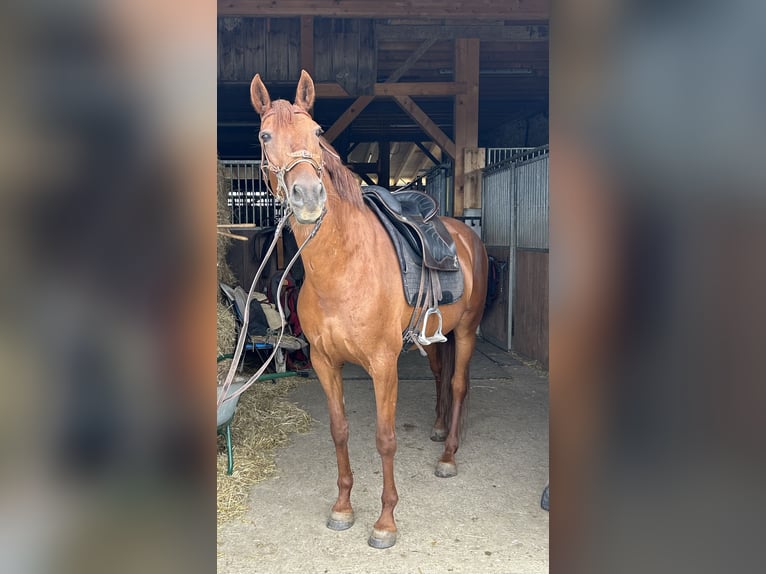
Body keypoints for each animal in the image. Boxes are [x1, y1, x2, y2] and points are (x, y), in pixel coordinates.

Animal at [252, 71, 492, 548]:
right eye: (265, 136)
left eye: (317, 133)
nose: (308, 196)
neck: (343, 266)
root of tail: (465, 234)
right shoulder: (325, 363)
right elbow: (340, 431)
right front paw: (343, 507)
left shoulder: (383, 364)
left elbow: (385, 438)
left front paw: (385, 521)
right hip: (434, 338)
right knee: (441, 376)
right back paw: (441, 429)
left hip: (468, 331)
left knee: (458, 385)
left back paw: (448, 455)